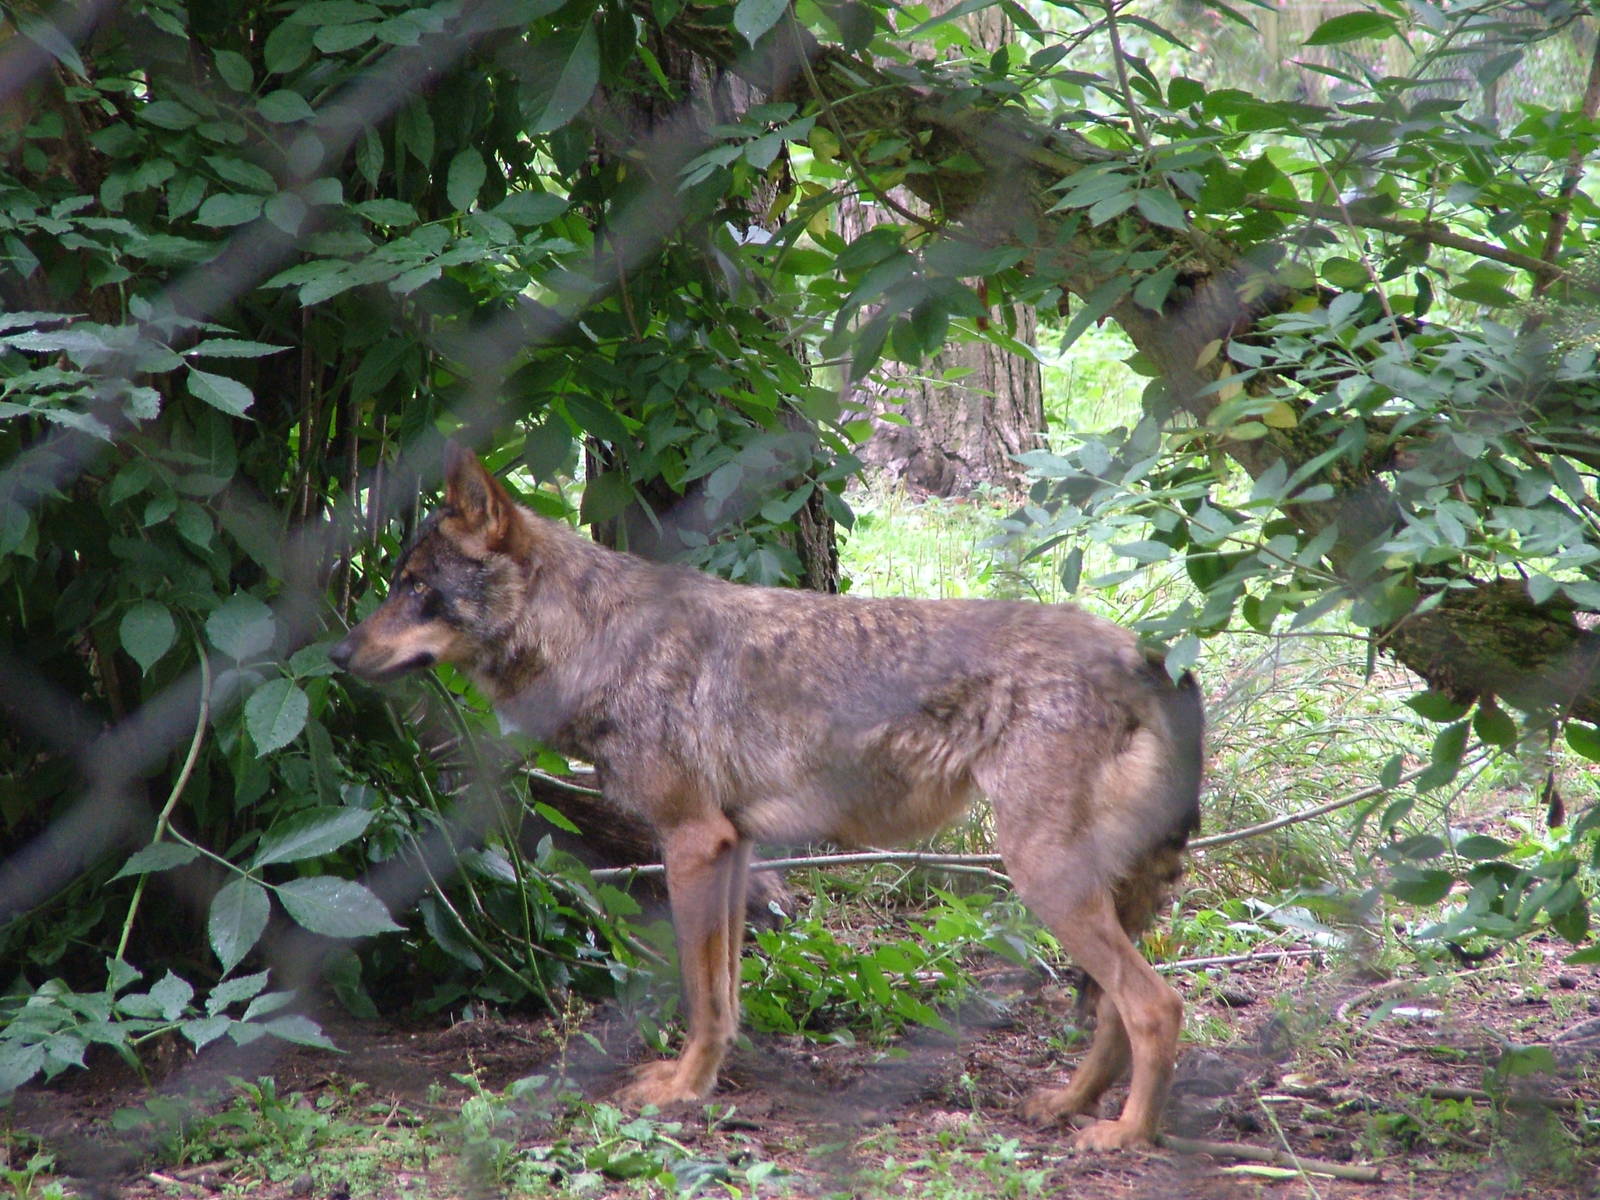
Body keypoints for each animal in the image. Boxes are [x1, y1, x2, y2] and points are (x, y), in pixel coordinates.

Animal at [330, 443, 1204, 1151]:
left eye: (415, 589)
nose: (337, 654)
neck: (596, 640)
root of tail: (1144, 653)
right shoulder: (733, 847)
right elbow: (724, 994)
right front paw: (705, 1082)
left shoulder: (690, 842)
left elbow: (697, 992)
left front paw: (681, 1092)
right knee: (1115, 1011)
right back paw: (1068, 1106)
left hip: (1043, 875)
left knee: (1155, 1006)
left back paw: (1125, 1136)